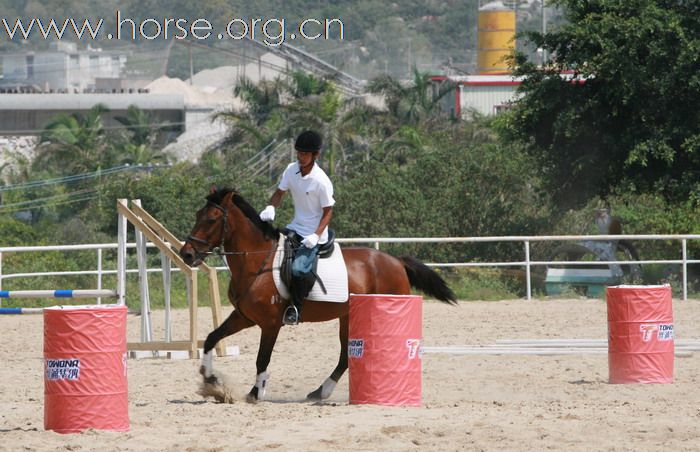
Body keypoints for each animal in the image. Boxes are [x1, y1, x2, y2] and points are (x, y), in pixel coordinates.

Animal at [178, 185, 456, 404]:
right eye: (198, 215)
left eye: (212, 219)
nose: (187, 254)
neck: (256, 261)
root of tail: (396, 261)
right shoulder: (244, 317)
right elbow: (212, 338)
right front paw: (211, 382)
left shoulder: (270, 324)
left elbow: (261, 359)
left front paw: (255, 393)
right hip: (347, 318)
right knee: (345, 357)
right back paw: (320, 392)